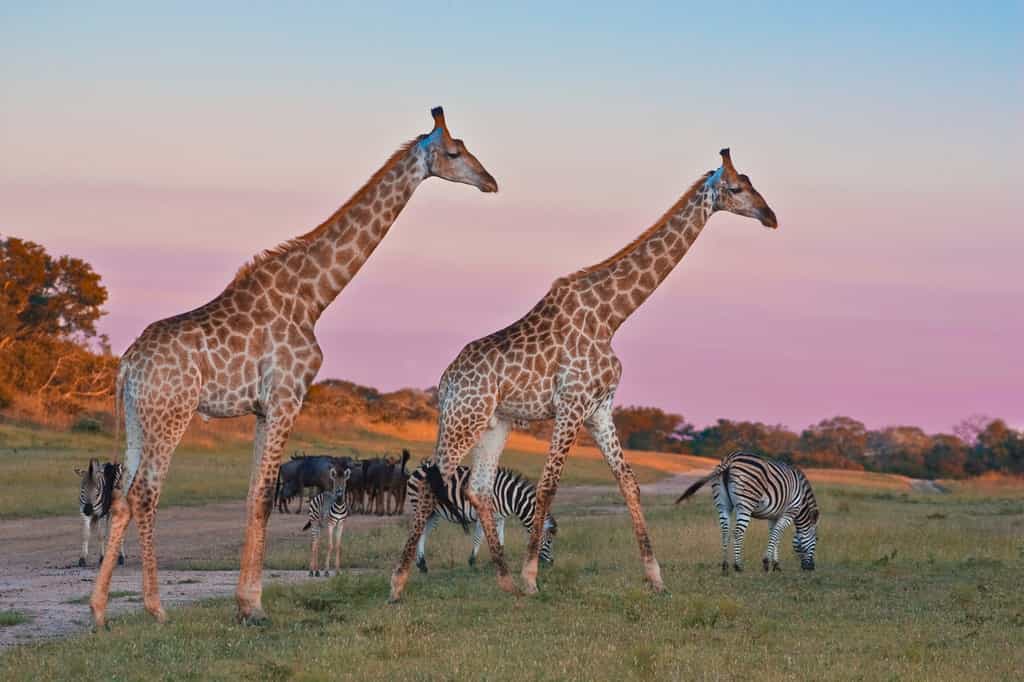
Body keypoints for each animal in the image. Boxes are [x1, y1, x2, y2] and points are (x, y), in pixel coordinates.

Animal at [90, 107, 498, 628]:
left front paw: (244, 603)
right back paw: (155, 608)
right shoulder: (287, 397)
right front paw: (254, 607)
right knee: (145, 494)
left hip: (139, 419)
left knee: (122, 494)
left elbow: (253, 496)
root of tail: (127, 366)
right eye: (453, 152)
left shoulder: (265, 409)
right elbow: (266, 497)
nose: (490, 181)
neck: (313, 297)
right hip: (171, 415)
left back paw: (99, 610)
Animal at [389, 149, 777, 601]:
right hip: (462, 420)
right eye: (735, 188)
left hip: (494, 424)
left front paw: (656, 577)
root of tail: (445, 381)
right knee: (432, 484)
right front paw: (532, 577)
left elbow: (629, 483)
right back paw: (399, 583)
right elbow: (548, 486)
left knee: (477, 488)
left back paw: (503, 581)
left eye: (750, 182)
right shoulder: (571, 405)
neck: (611, 316)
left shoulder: (600, 409)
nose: (770, 216)